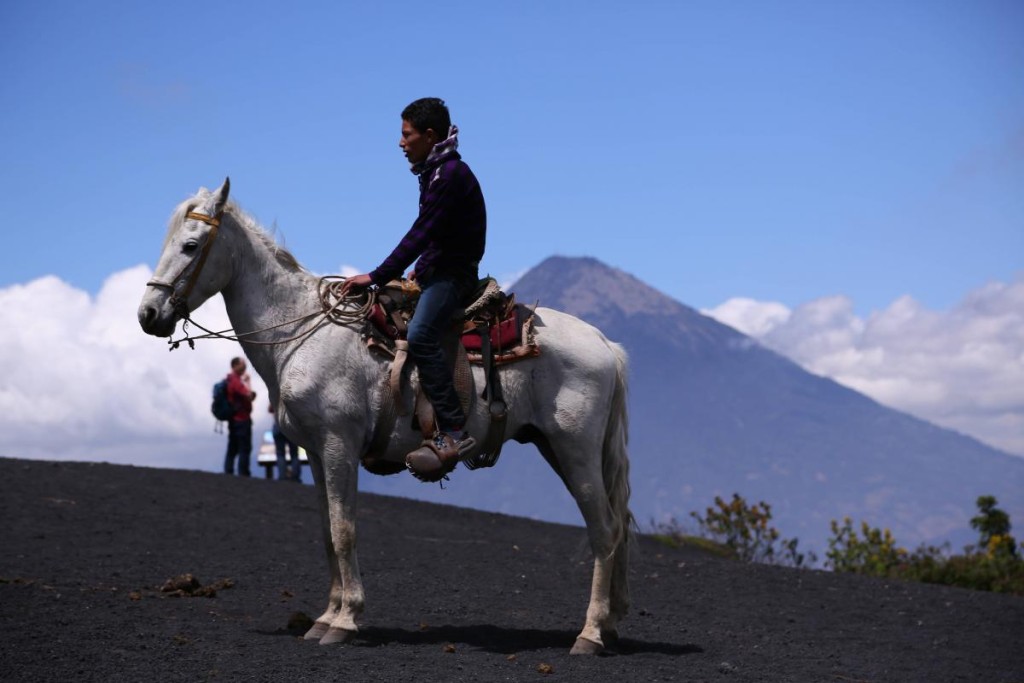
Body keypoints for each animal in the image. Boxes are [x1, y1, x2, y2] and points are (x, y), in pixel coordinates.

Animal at [136, 179, 630, 655]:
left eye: (191, 245)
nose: (148, 314)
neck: (299, 331)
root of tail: (605, 344)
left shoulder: (339, 444)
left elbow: (344, 530)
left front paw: (345, 620)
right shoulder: (316, 453)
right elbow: (326, 532)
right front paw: (324, 617)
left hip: (575, 450)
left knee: (605, 530)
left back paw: (589, 635)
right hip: (556, 448)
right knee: (613, 527)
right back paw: (608, 626)